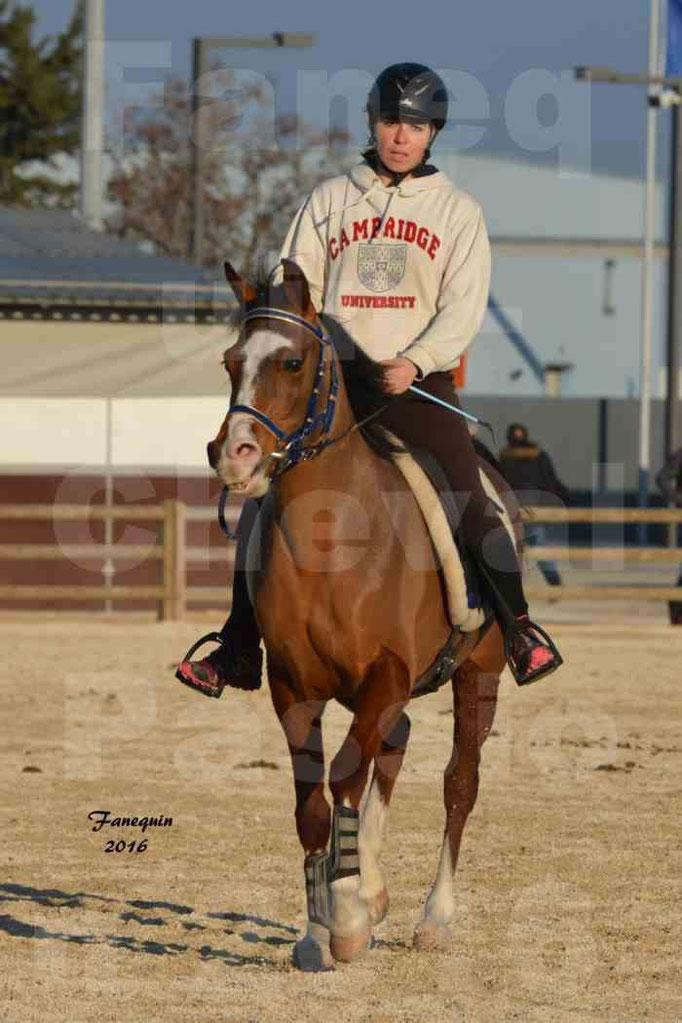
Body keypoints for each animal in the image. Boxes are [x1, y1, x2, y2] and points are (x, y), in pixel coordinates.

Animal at [208, 259, 511, 969]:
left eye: (291, 362)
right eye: (232, 362)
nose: (232, 454)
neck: (333, 540)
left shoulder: (386, 677)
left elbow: (347, 775)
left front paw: (344, 918)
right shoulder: (294, 687)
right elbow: (313, 806)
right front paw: (320, 927)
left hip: (477, 674)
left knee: (459, 783)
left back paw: (433, 919)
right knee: (392, 753)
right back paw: (371, 889)